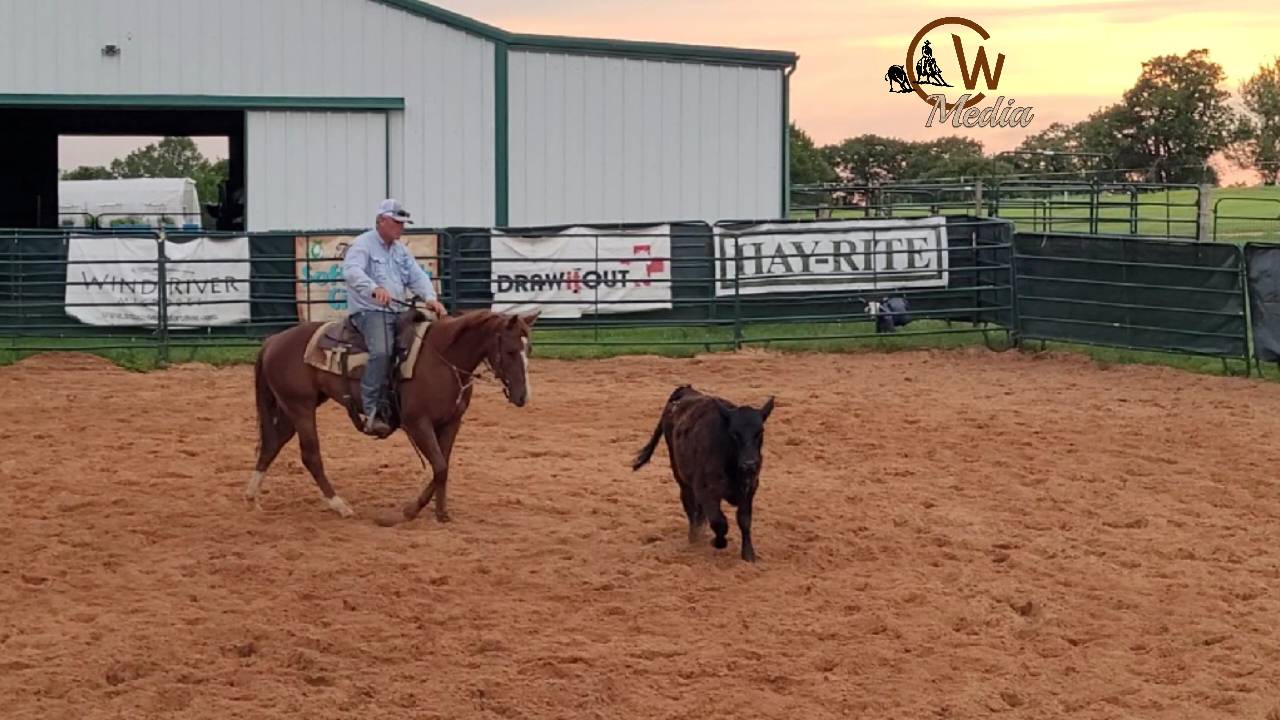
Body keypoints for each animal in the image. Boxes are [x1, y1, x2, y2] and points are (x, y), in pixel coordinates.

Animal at [631, 385, 775, 562]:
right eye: (734, 433)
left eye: (760, 432)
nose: (750, 464)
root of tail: (686, 390)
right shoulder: (706, 490)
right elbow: (719, 521)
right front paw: (718, 542)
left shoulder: (749, 488)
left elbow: (744, 520)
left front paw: (748, 554)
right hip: (680, 474)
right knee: (688, 503)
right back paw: (694, 536)